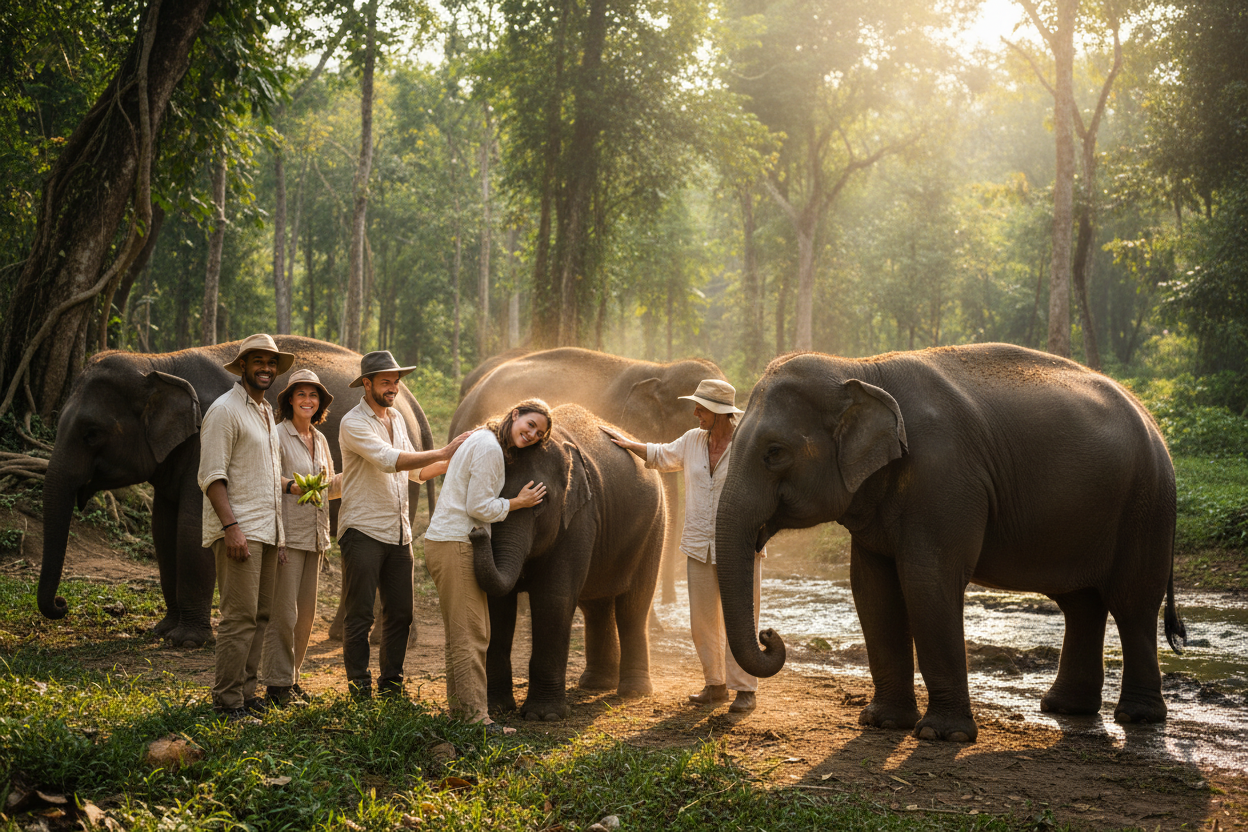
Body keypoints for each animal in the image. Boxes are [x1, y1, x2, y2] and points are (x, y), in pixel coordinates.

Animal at [37, 337, 436, 648]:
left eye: (91, 433)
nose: (61, 605)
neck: (158, 363)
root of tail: (413, 401)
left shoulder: (205, 436)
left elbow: (191, 527)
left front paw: (187, 641)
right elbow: (162, 528)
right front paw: (163, 631)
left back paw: (388, 639)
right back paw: (342, 635)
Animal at [470, 404, 666, 721]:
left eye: (541, 502)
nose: (476, 532)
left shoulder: (579, 517)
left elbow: (554, 598)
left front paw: (542, 716)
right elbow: (497, 603)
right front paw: (496, 708)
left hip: (654, 527)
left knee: (633, 606)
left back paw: (633, 692)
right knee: (596, 606)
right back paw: (595, 684)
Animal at [714, 344, 1184, 743]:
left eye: (774, 452)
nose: (768, 634)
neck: (860, 368)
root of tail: (1154, 423)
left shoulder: (945, 477)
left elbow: (927, 581)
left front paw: (942, 735)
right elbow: (871, 588)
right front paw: (882, 723)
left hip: (1147, 505)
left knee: (1132, 603)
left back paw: (1137, 716)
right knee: (1082, 603)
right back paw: (1064, 708)